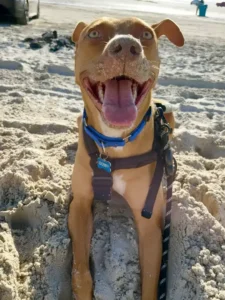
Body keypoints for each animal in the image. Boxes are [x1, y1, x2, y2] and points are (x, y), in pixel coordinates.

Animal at [69, 17, 185, 300]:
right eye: (94, 33)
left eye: (146, 34)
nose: (125, 46)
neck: (113, 145)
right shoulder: (80, 204)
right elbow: (80, 270)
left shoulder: (150, 226)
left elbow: (151, 283)